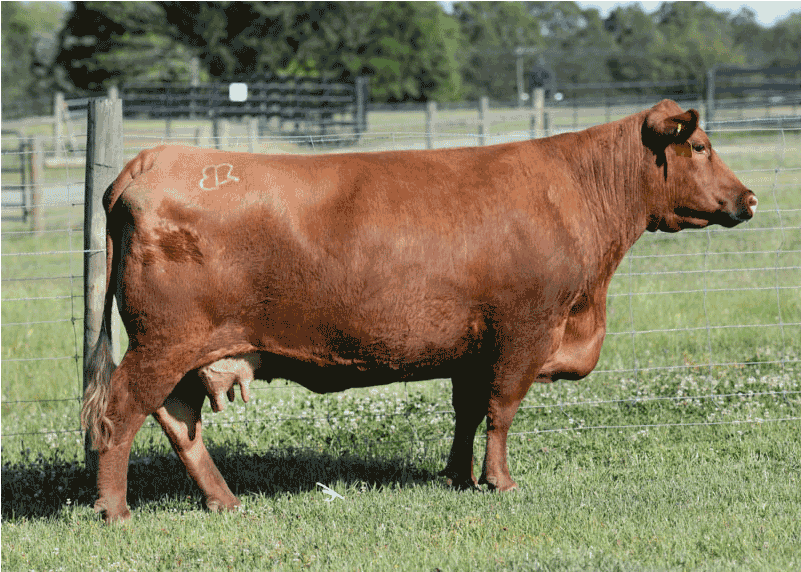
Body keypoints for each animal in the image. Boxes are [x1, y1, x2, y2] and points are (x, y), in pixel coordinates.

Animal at [81, 99, 757, 522]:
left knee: (177, 420)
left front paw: (459, 477)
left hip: (183, 352)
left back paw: (223, 502)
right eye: (701, 145)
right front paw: (499, 482)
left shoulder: (473, 346)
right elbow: (502, 411)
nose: (749, 198)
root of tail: (147, 163)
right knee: (119, 414)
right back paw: (115, 511)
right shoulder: (524, 331)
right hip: (164, 343)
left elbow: (468, 411)